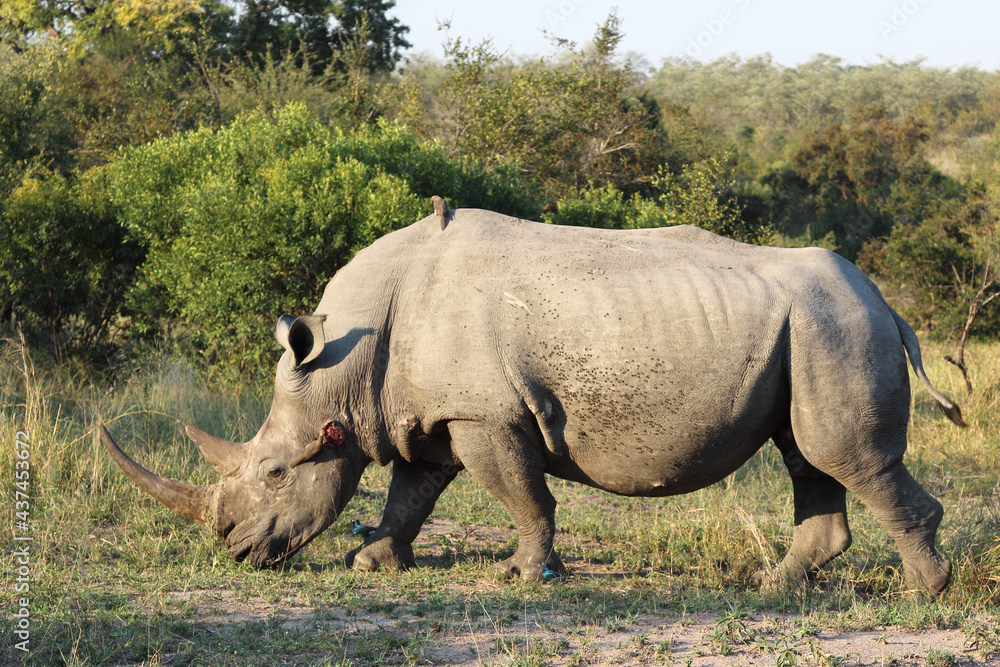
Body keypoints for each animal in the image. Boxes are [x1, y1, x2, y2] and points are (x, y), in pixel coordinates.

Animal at [102, 208, 965, 595]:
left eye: (276, 473)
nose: (235, 549)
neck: (343, 366)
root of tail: (888, 303)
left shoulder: (487, 414)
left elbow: (522, 495)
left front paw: (521, 574)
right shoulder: (434, 412)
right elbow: (413, 491)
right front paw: (372, 560)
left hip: (838, 327)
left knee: (844, 456)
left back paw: (922, 593)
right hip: (818, 329)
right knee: (808, 457)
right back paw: (775, 585)